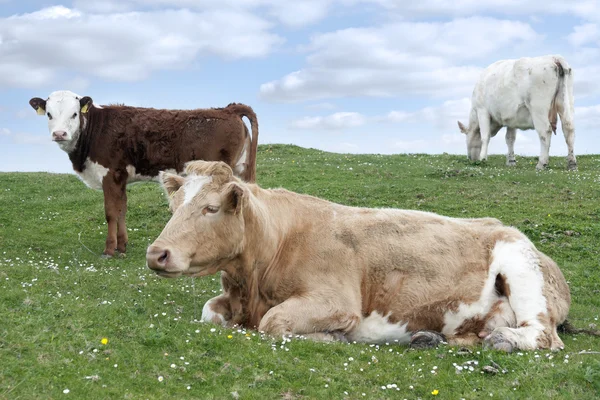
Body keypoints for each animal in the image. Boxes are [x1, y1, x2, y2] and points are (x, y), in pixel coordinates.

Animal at [28, 90, 258, 256]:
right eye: (49, 114)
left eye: (74, 113)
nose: (59, 134)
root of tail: (228, 109)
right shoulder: (120, 177)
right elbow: (121, 210)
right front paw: (122, 246)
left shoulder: (109, 174)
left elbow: (111, 212)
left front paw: (109, 250)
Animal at [146, 161, 572, 352]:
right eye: (174, 206)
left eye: (211, 208)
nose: (156, 253)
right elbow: (209, 311)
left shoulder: (336, 301)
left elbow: (273, 322)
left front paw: (331, 337)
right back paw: (432, 337)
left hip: (521, 268)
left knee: (542, 334)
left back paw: (501, 339)